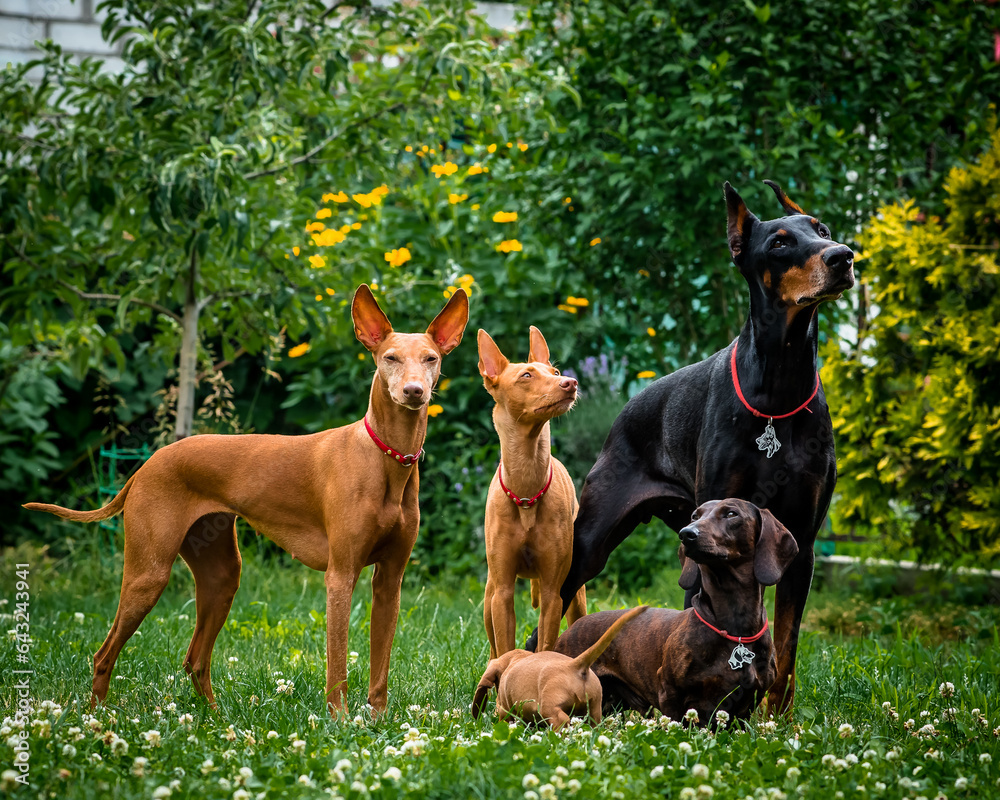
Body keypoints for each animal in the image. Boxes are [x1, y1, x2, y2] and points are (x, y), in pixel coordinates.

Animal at [23, 284, 468, 716]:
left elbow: (380, 668)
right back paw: (98, 720)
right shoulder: (340, 576)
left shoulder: (390, 582)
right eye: (390, 358)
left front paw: (377, 721)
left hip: (222, 576)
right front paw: (341, 722)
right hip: (148, 575)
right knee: (104, 654)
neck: (387, 459)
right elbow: (337, 664)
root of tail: (149, 462)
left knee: (195, 659)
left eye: (430, 358)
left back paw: (217, 722)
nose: (414, 391)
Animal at [474, 608, 652, 732]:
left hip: (551, 710)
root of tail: (575, 665)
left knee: (562, 722)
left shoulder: (506, 711)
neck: (514, 660)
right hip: (594, 711)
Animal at [478, 326, 588, 656]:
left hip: (576, 596)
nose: (570, 382)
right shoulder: (502, 592)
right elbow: (505, 647)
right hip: (488, 595)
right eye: (526, 375)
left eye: (555, 372)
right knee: (493, 646)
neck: (526, 491)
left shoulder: (554, 593)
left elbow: (545, 645)